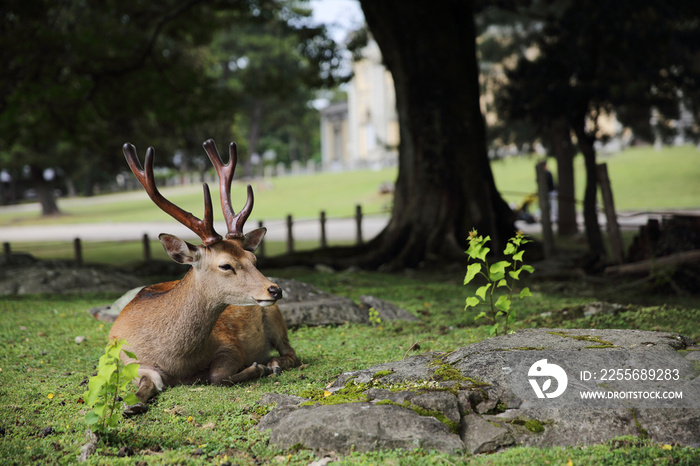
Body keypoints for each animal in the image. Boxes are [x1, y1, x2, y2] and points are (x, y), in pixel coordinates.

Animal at [108, 138, 300, 412]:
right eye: (225, 265)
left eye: (253, 259)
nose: (275, 289)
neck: (177, 361)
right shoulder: (126, 360)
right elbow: (149, 380)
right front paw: (132, 405)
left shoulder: (230, 344)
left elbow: (218, 376)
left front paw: (258, 367)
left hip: (274, 315)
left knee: (291, 352)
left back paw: (273, 364)